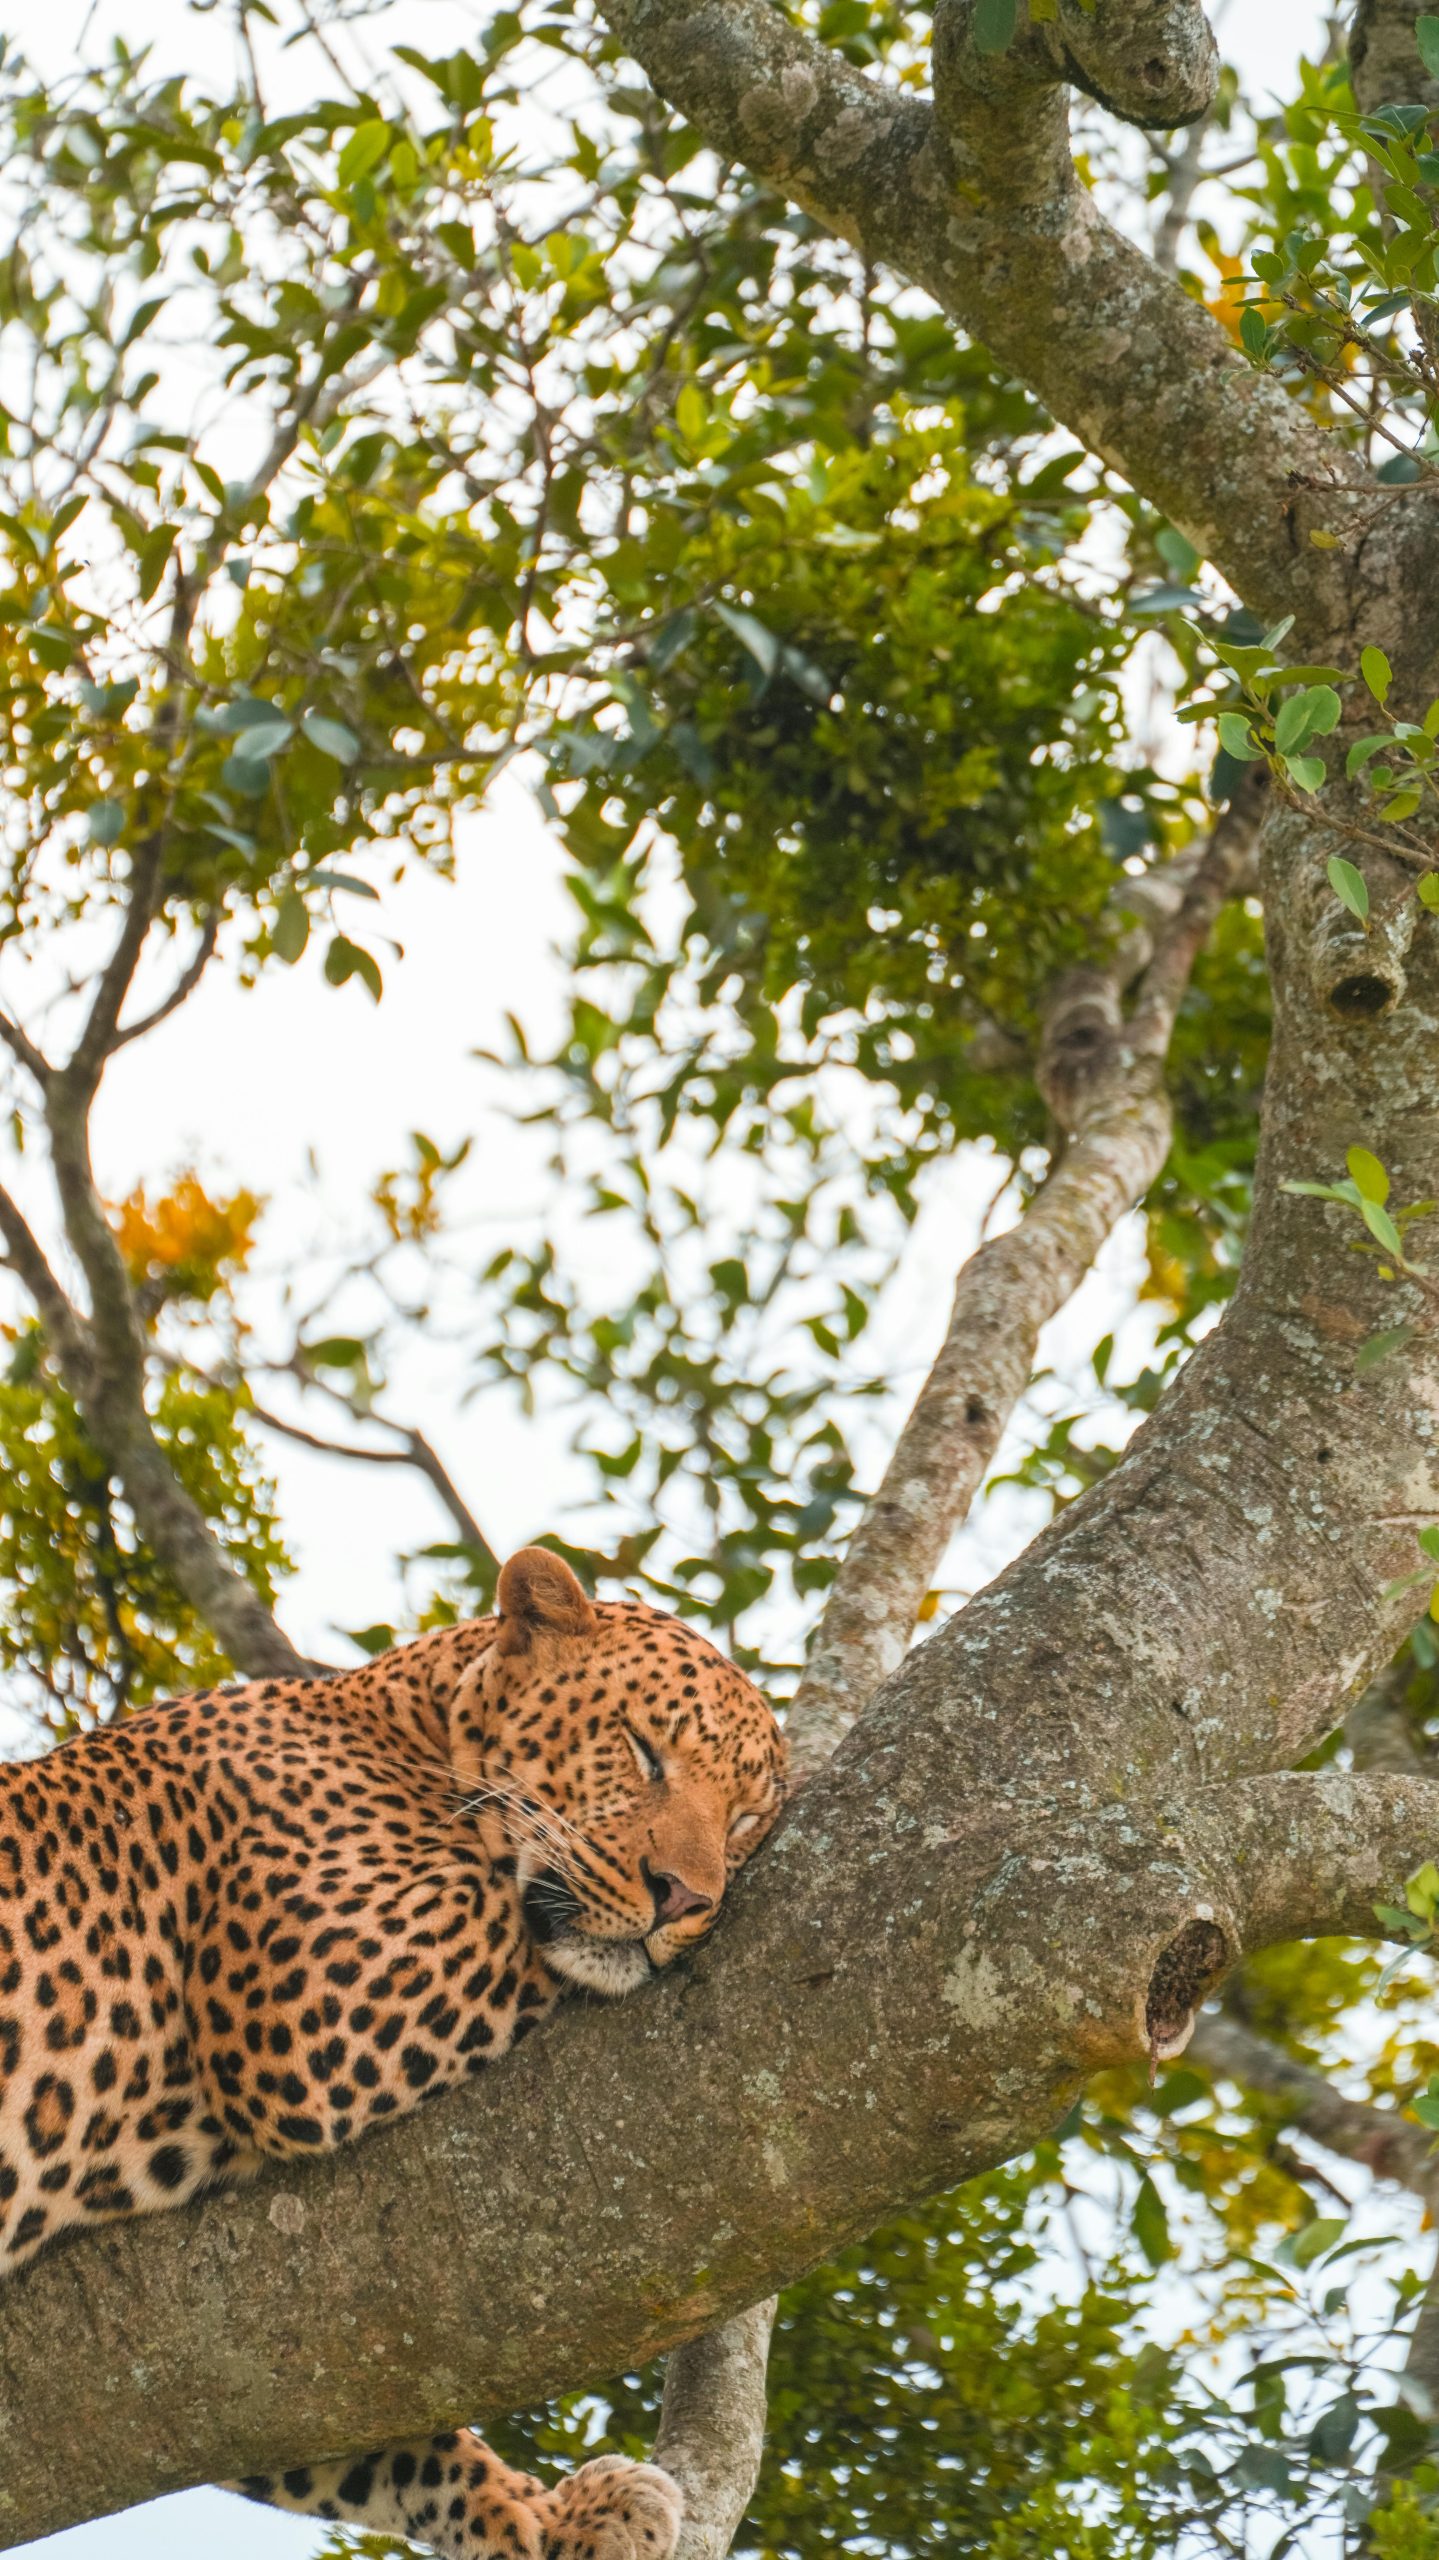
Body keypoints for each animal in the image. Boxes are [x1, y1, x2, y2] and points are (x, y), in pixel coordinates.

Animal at [0, 1544, 788, 2560]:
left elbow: (371, 2444)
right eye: (642, 1748)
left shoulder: (226, 2387)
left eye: (744, 1822)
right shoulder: (329, 1989)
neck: (405, 1724)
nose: (686, 1898)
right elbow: (520, 1922)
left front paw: (559, 2520)